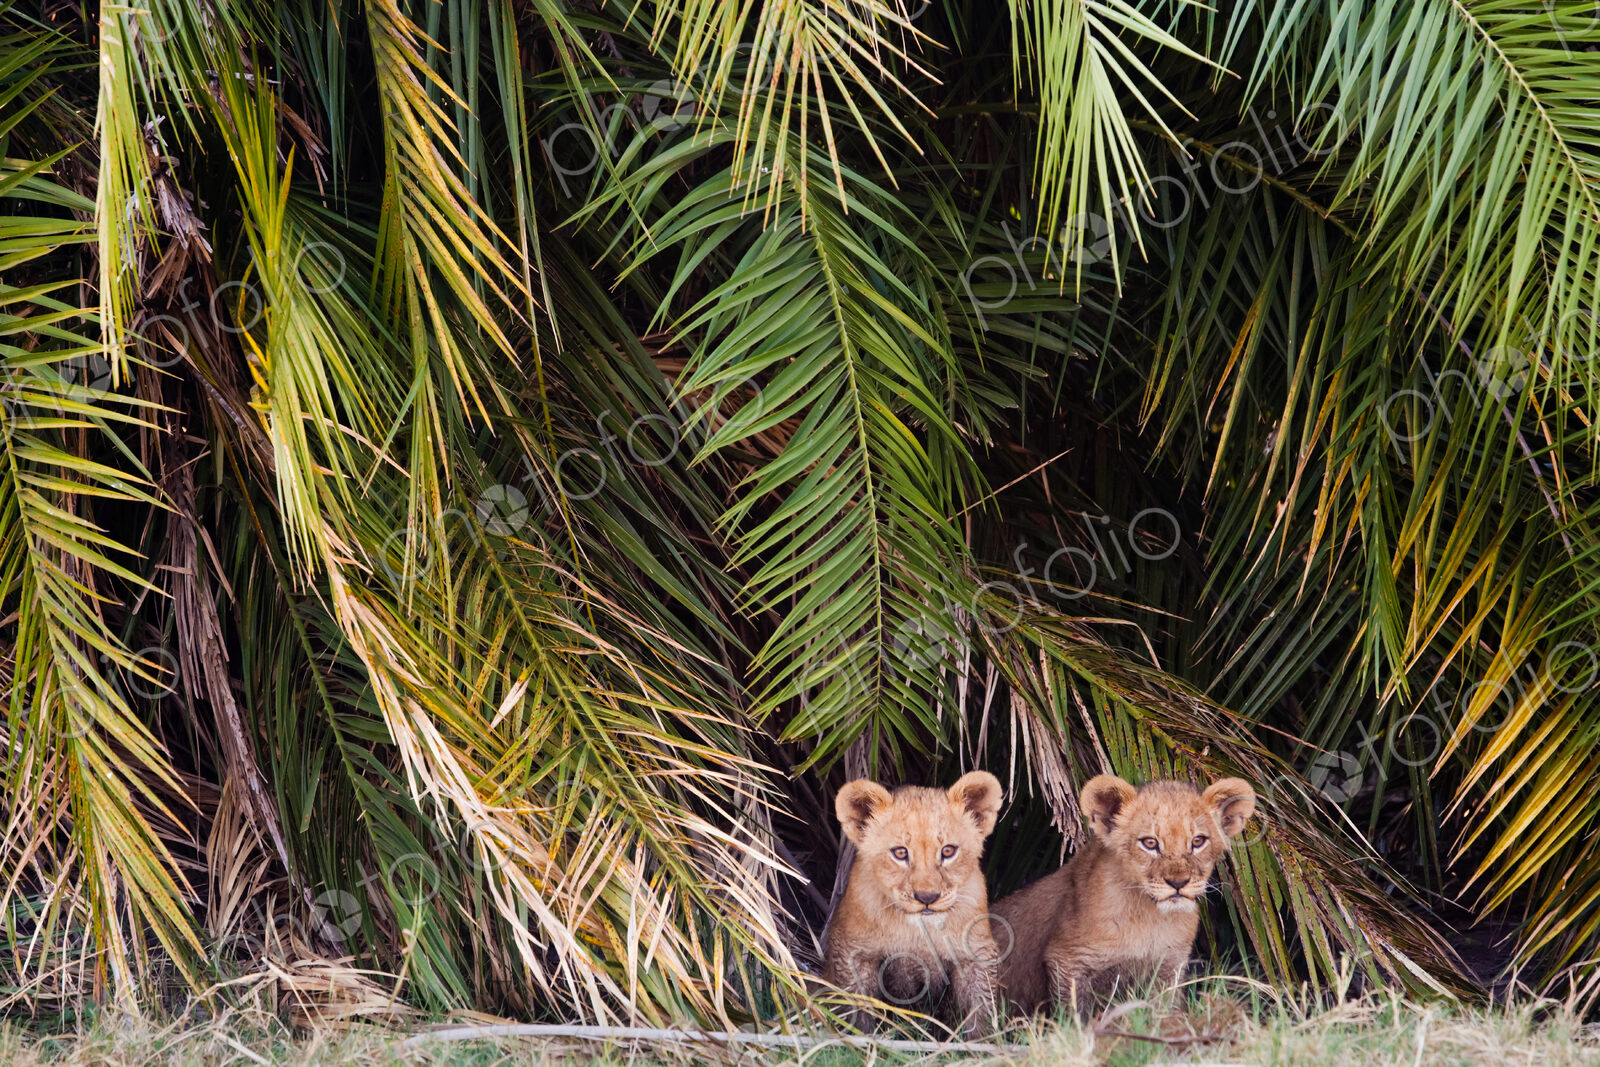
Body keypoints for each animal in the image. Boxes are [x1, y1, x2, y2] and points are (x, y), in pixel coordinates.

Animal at [822, 771, 1004, 1035]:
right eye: (900, 853)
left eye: (948, 851)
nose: (927, 898)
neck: (918, 930)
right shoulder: (853, 951)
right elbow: (859, 1007)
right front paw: (860, 1037)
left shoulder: (976, 953)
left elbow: (981, 1008)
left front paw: (983, 1041)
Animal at [990, 773, 1256, 1015]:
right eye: (1150, 843)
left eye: (1198, 841)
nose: (1178, 883)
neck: (1151, 918)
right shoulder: (1066, 960)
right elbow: (1074, 1016)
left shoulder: (1170, 966)